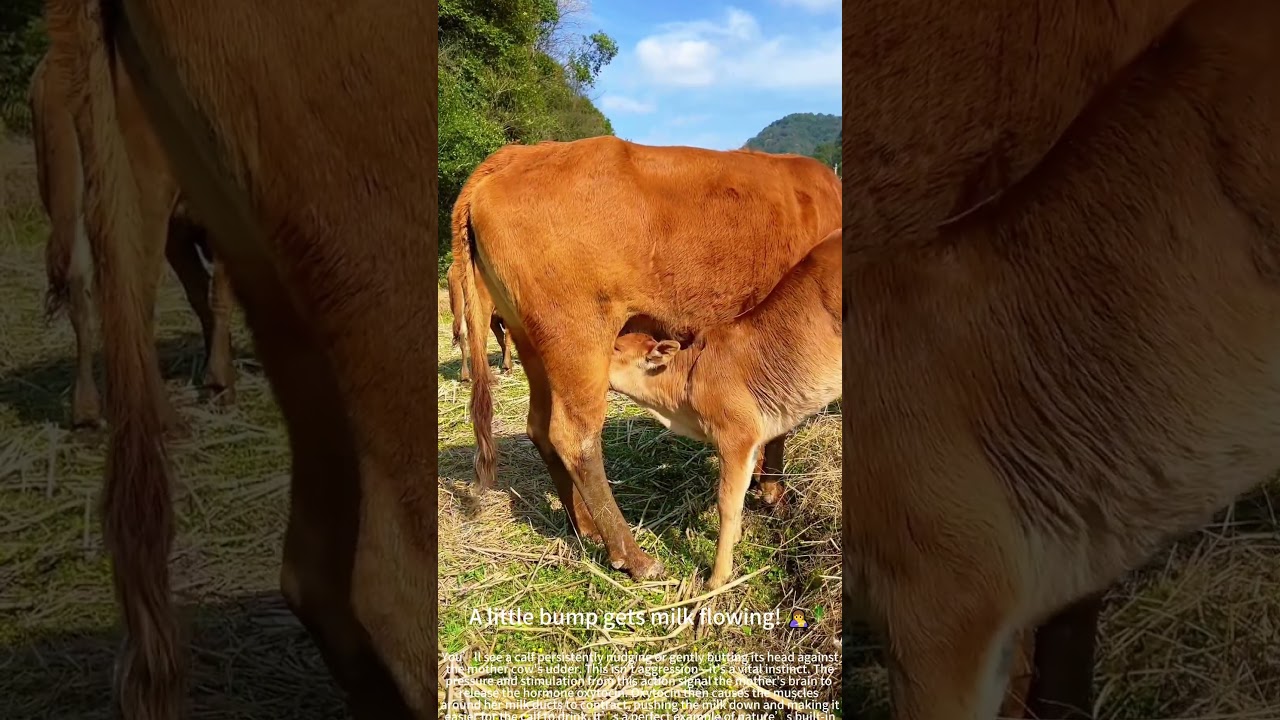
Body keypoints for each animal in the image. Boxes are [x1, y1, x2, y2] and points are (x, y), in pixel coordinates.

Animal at [28, 50, 237, 431]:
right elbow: (218, 295)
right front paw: (220, 383)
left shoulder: (179, 232)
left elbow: (201, 294)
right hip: (139, 200)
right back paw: (165, 417)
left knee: (80, 292)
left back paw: (86, 413)